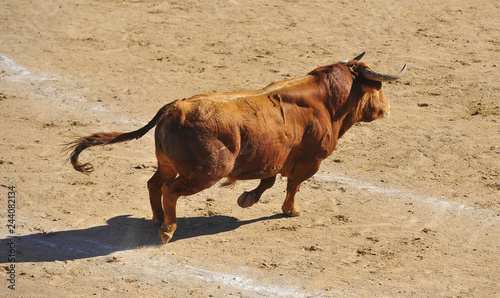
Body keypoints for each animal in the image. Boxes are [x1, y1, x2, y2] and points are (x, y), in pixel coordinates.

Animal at [67, 53, 406, 244]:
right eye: (378, 87)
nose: (388, 108)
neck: (327, 102)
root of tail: (174, 107)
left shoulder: (273, 157)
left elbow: (268, 180)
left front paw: (247, 199)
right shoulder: (310, 161)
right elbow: (292, 186)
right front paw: (290, 211)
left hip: (168, 163)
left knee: (154, 183)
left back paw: (157, 219)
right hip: (206, 172)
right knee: (170, 190)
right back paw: (167, 230)